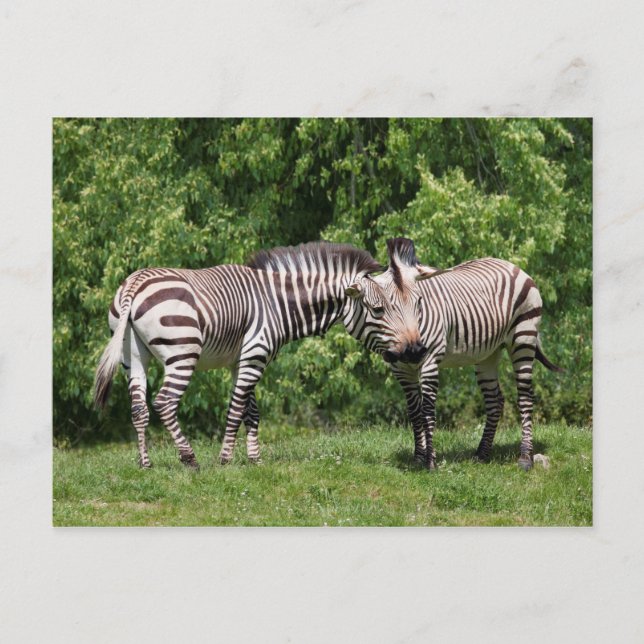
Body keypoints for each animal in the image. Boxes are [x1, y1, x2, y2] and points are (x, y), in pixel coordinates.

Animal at [93, 241, 428, 468]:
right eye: (379, 310)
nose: (414, 350)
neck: (277, 301)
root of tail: (134, 284)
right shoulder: (256, 352)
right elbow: (236, 408)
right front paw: (226, 458)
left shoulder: (243, 358)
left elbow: (250, 411)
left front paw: (254, 459)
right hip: (183, 352)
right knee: (164, 402)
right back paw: (189, 458)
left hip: (133, 356)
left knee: (138, 407)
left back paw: (145, 463)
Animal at [373, 238, 562, 471]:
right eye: (383, 308)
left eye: (418, 302)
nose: (412, 351)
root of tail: (513, 266)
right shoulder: (400, 369)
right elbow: (414, 412)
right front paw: (418, 458)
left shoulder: (430, 359)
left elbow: (426, 410)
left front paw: (429, 461)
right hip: (487, 354)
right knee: (495, 400)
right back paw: (482, 453)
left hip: (523, 337)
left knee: (525, 396)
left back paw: (525, 457)